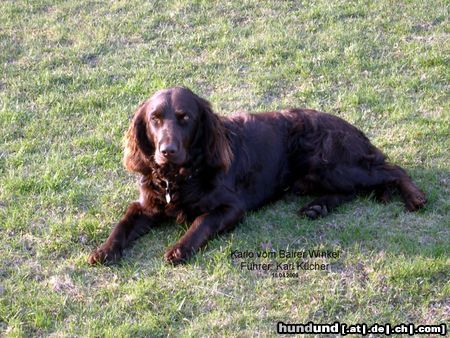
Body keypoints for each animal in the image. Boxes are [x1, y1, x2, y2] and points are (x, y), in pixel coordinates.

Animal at [87, 86, 426, 264]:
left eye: (185, 118)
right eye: (155, 119)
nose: (167, 150)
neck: (179, 177)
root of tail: (353, 129)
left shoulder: (232, 207)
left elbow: (201, 221)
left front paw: (180, 247)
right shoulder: (147, 205)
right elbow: (123, 224)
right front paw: (104, 250)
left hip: (332, 164)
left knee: (392, 170)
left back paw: (415, 197)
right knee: (351, 190)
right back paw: (317, 207)